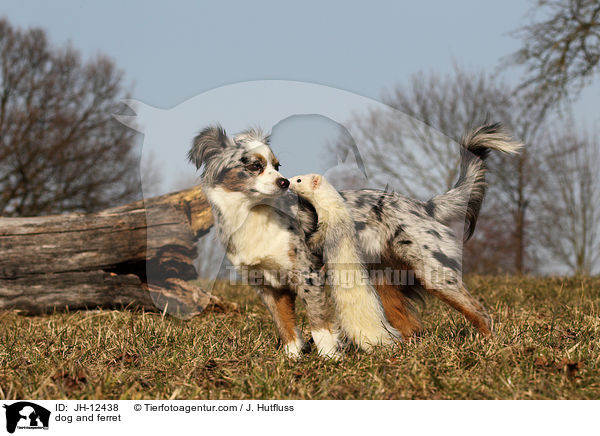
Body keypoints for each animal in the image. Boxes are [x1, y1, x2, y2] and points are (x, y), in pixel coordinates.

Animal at [188, 122, 520, 358]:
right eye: (254, 166)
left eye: (277, 166)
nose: (284, 183)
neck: (254, 213)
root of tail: (423, 205)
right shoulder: (267, 287)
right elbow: (287, 328)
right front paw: (292, 360)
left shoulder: (308, 276)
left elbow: (319, 323)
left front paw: (330, 359)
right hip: (385, 284)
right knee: (411, 327)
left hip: (435, 273)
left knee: (481, 313)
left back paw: (489, 347)